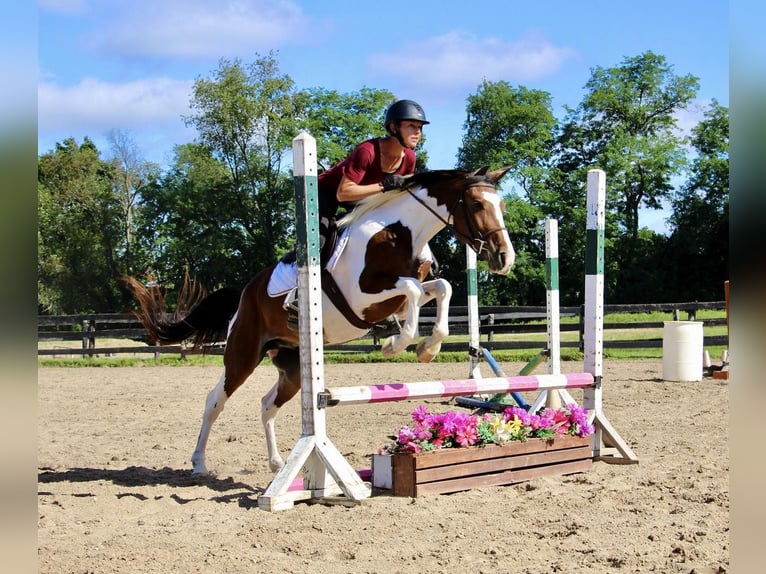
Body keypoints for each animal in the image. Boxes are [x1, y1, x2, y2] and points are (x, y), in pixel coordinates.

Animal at [127, 166, 516, 476]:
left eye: (502, 206)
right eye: (477, 205)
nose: (504, 258)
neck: (398, 232)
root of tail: (245, 292)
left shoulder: (404, 290)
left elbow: (438, 288)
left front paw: (427, 346)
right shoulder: (362, 298)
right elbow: (414, 290)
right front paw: (398, 345)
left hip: (293, 367)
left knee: (267, 404)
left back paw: (277, 463)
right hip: (242, 353)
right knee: (215, 400)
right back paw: (199, 463)